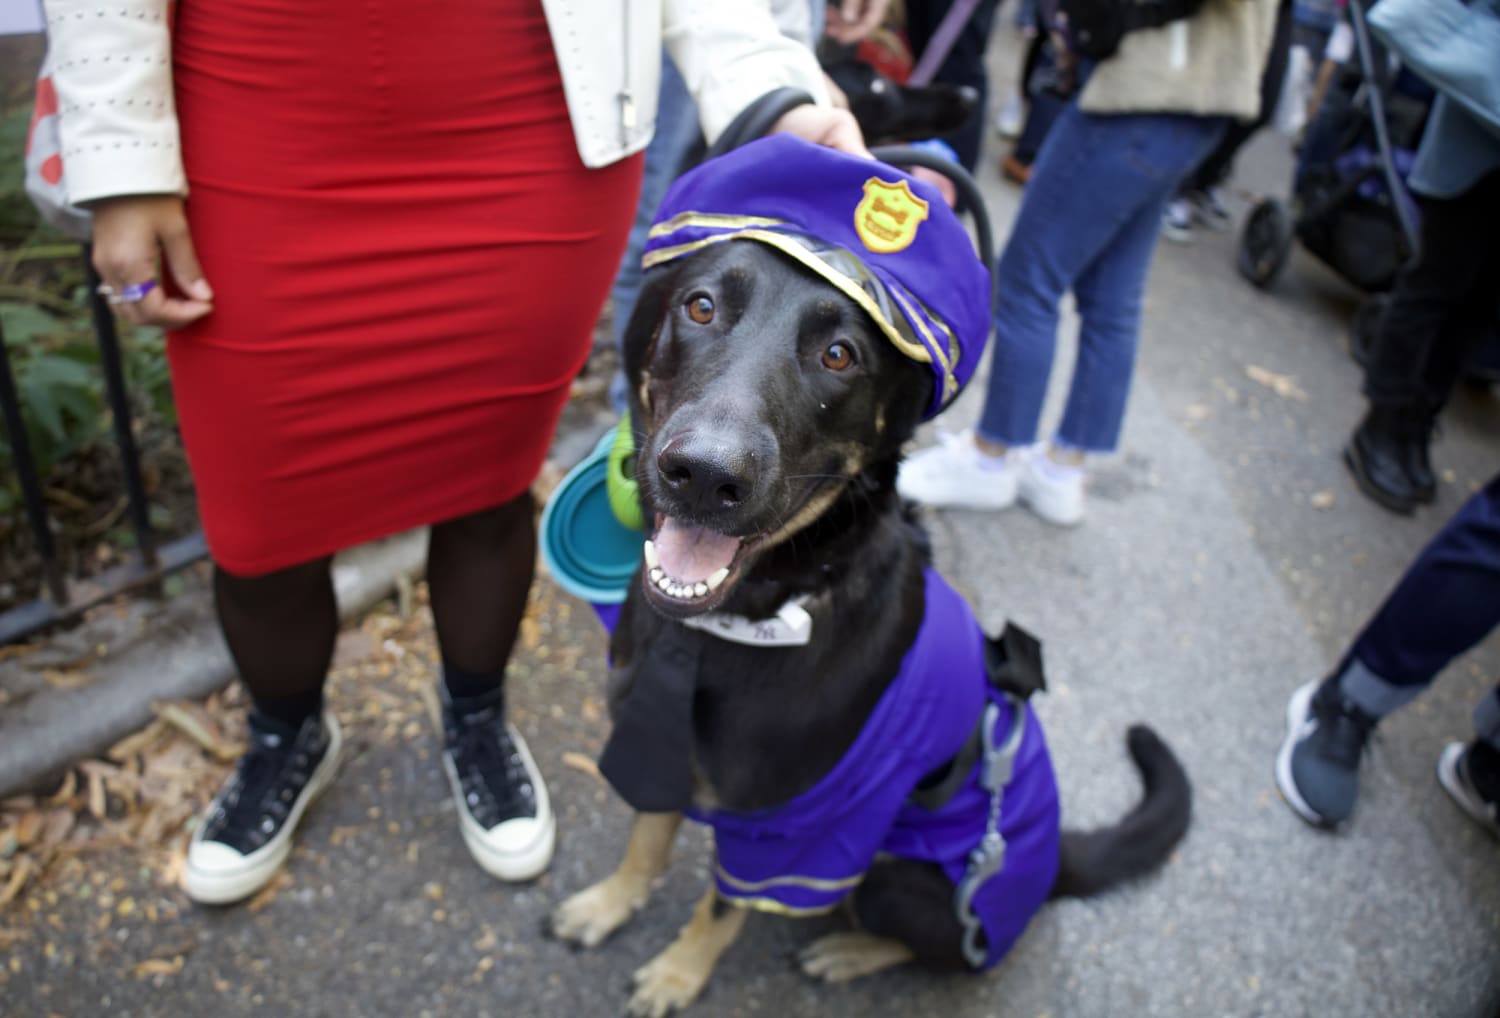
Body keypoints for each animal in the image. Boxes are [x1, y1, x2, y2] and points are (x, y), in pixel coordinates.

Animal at [546, 155, 1188, 1013]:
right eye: (701, 305)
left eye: (841, 355)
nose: (704, 476)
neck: (743, 620)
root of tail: (1053, 861)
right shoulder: (661, 754)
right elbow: (647, 839)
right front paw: (610, 904)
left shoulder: (793, 835)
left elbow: (720, 909)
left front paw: (680, 973)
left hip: (901, 880)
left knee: (929, 943)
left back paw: (850, 951)